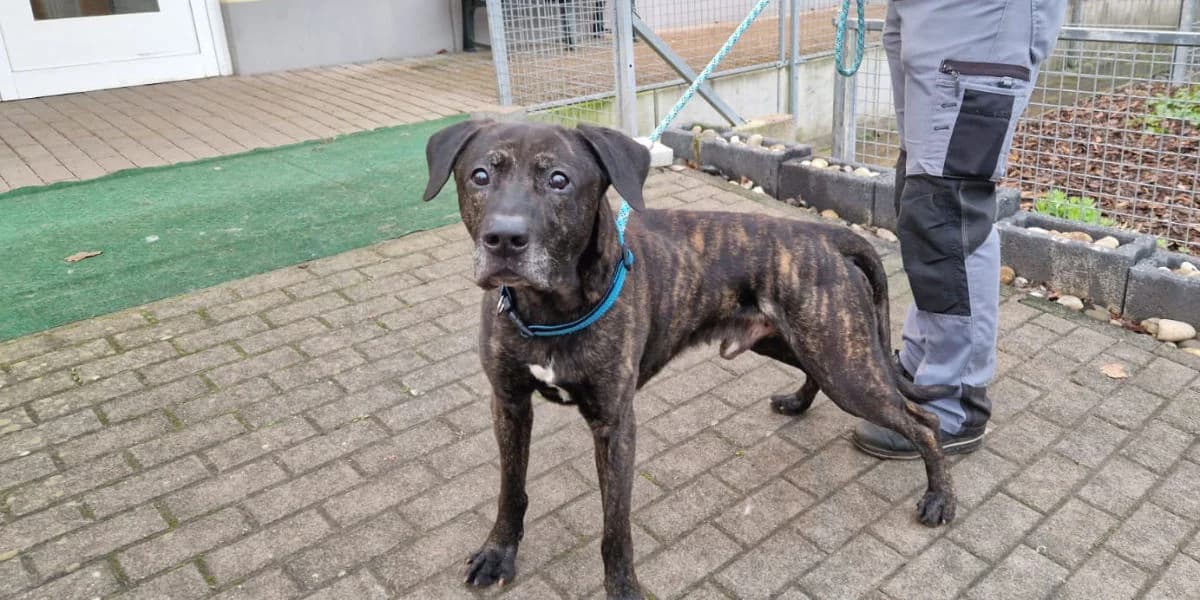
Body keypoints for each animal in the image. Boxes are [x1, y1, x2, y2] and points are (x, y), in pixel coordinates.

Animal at [422, 119, 957, 599]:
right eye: (480, 175)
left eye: (558, 180)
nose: (503, 240)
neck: (546, 310)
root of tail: (826, 236)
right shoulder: (509, 403)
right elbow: (510, 489)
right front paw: (498, 554)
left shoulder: (615, 425)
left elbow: (615, 524)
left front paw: (623, 588)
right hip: (800, 342)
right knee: (821, 377)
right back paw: (799, 403)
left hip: (844, 364)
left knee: (924, 420)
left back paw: (940, 498)